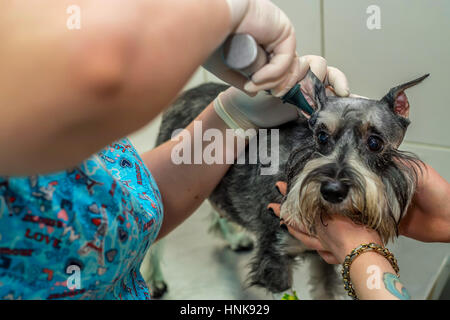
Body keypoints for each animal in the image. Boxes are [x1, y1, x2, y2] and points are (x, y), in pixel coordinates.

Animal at [142, 70, 428, 300]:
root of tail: (187, 93)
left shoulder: (324, 262)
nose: (332, 191)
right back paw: (154, 279)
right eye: (321, 136)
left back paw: (233, 237)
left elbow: (324, 292)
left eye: (375, 142)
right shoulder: (275, 260)